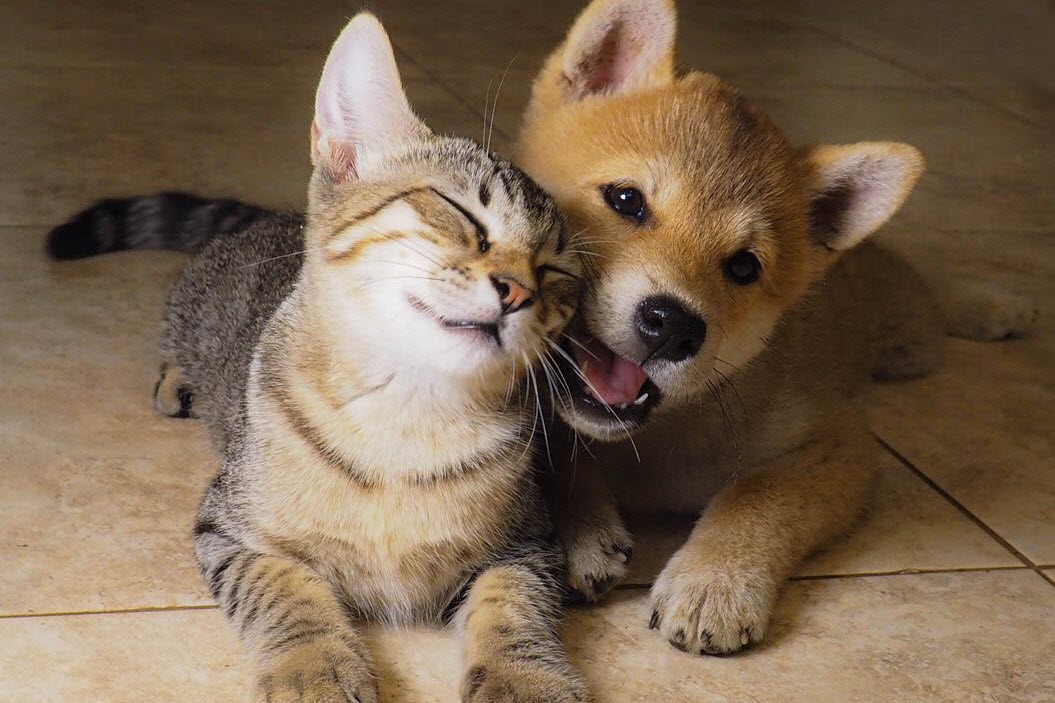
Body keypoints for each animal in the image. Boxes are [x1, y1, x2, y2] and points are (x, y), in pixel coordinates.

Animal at [47, 12, 586, 700]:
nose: (519, 291)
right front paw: (315, 666)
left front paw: (524, 676)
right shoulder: (228, 528)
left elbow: (514, 602)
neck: (405, 420)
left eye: (557, 272)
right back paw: (176, 381)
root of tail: (266, 217)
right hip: (193, 311)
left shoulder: (528, 543)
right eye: (459, 210)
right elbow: (285, 588)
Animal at [514, 0, 953, 654]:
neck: (652, 441)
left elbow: (755, 498)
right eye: (626, 199)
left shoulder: (839, 445)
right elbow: (558, 450)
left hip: (912, 339)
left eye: (744, 266)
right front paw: (578, 527)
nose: (673, 325)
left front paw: (714, 582)